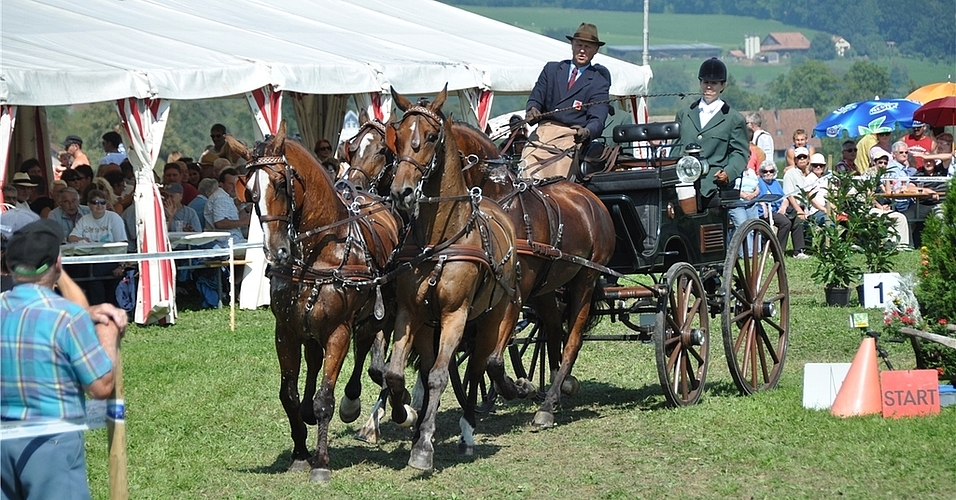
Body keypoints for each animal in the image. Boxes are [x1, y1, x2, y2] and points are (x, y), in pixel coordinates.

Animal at [243, 123, 404, 482]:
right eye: (250, 192)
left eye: (281, 183)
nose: (277, 251)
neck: (320, 251)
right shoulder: (286, 332)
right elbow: (287, 395)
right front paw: (300, 453)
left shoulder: (338, 331)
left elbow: (325, 398)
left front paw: (320, 462)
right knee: (324, 359)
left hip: (377, 314)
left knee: (373, 358)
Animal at [382, 84, 532, 470]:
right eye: (398, 136)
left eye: (431, 137)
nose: (401, 192)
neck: (438, 243)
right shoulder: (410, 314)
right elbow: (396, 372)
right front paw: (406, 414)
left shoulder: (456, 315)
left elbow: (438, 376)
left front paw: (423, 448)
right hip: (433, 327)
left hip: (493, 315)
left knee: (480, 366)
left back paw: (471, 426)